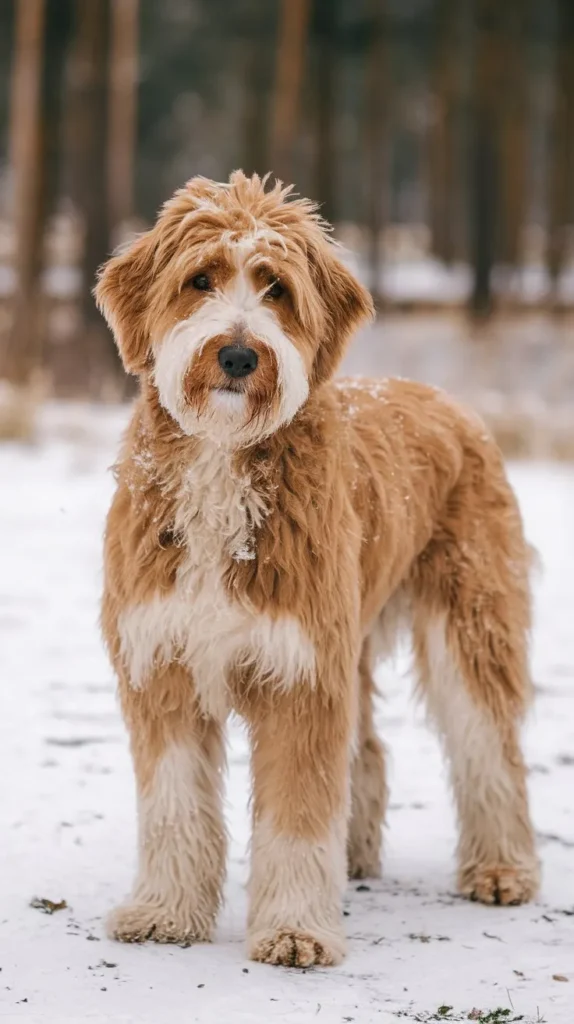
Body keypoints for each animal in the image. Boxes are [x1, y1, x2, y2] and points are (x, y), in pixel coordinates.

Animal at [94, 169, 536, 966]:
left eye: (276, 289)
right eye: (200, 280)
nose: (239, 357)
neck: (223, 461)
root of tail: (444, 397)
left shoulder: (300, 676)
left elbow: (298, 815)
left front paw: (296, 929)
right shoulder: (166, 663)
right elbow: (175, 805)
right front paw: (165, 911)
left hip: (471, 618)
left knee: (489, 746)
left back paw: (502, 869)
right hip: (349, 634)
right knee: (369, 751)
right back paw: (355, 856)